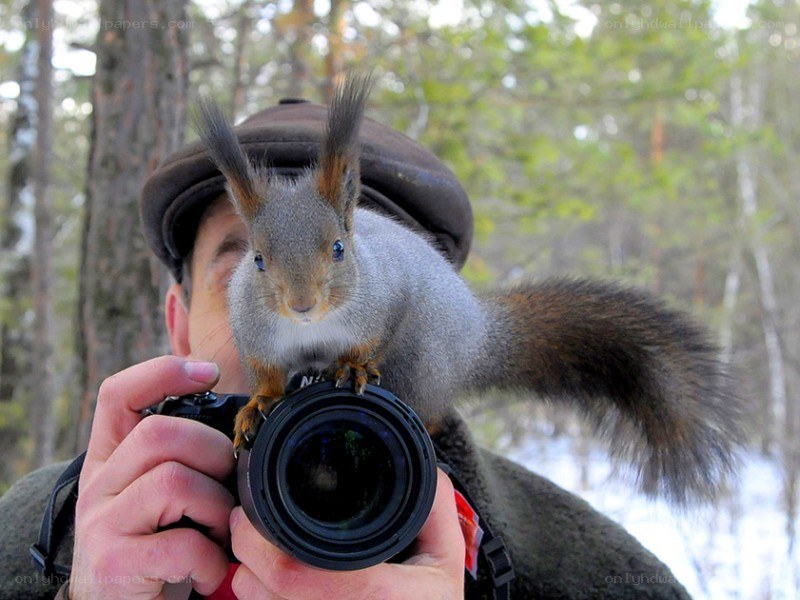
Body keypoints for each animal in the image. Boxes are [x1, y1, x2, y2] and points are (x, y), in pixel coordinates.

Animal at [195, 74, 743, 504]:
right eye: (258, 259)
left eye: (338, 249)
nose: (302, 305)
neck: (313, 330)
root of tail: (477, 335)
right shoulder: (256, 336)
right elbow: (267, 375)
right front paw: (257, 406)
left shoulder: (385, 300)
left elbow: (371, 341)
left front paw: (352, 366)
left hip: (424, 361)